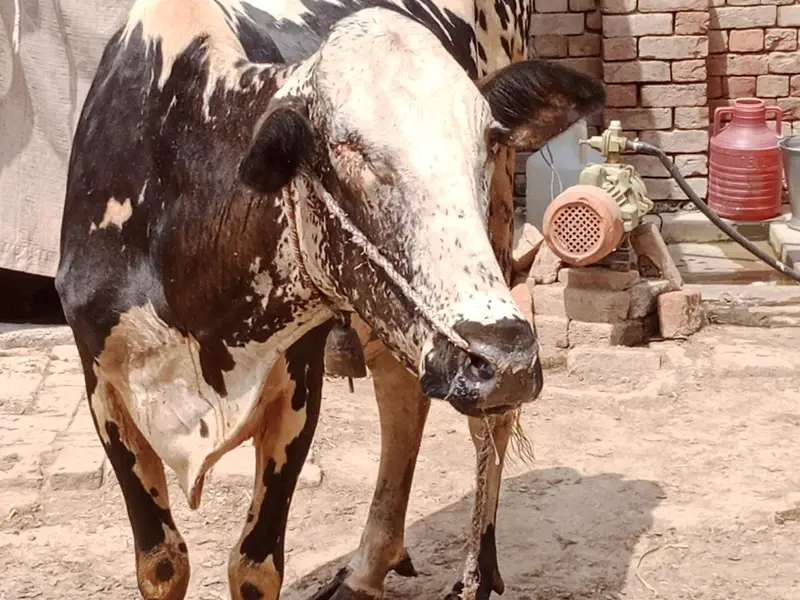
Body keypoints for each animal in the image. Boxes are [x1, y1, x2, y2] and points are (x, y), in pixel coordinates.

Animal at [54, 2, 605, 600]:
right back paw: (367, 570)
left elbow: (253, 567)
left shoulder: (297, 382)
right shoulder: (104, 388)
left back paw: (473, 575)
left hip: (497, 246)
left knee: (488, 425)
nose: (503, 359)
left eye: (487, 141)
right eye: (348, 149)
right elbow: (161, 563)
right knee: (402, 400)